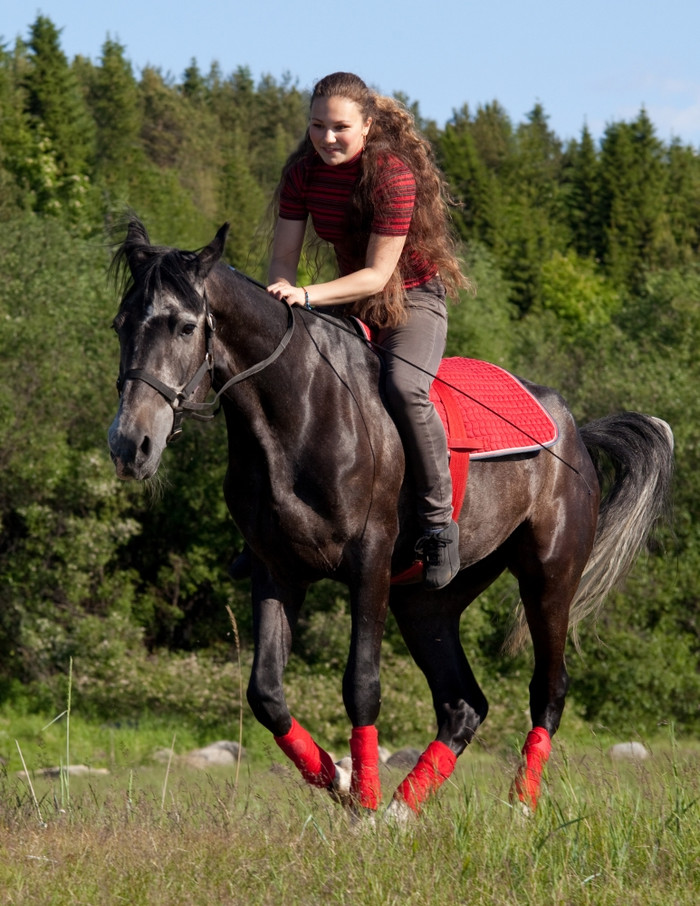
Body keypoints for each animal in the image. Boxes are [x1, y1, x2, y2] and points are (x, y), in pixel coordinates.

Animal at [108, 219, 672, 820]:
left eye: (185, 325)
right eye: (121, 325)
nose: (129, 445)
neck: (300, 410)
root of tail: (576, 433)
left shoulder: (369, 564)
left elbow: (362, 685)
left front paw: (364, 804)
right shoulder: (275, 570)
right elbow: (266, 694)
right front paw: (338, 779)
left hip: (549, 578)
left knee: (548, 689)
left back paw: (518, 806)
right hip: (427, 601)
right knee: (463, 704)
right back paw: (405, 809)